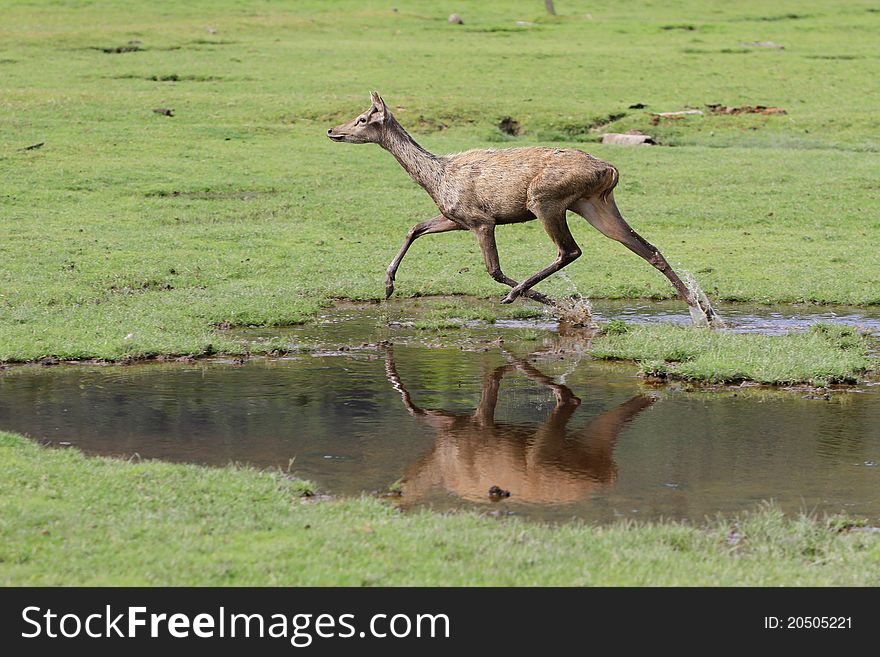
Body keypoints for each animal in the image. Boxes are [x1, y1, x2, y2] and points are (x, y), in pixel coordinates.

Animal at [326, 92, 720, 326]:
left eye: (363, 119)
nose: (332, 130)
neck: (436, 178)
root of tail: (610, 169)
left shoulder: (481, 220)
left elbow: (494, 270)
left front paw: (555, 304)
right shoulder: (455, 217)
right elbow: (415, 227)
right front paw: (388, 285)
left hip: (546, 200)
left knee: (570, 250)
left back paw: (521, 296)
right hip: (595, 204)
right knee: (648, 248)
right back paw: (702, 310)